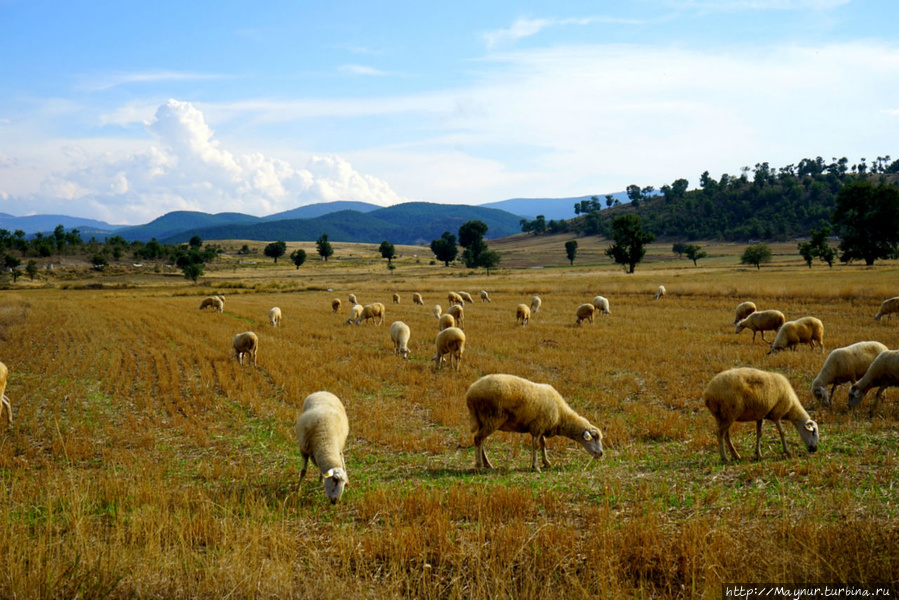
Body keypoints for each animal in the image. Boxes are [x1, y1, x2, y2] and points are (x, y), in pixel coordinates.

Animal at [464, 372, 604, 472]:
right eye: (593, 438)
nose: (601, 454)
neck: (561, 415)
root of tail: (471, 393)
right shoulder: (537, 427)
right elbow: (536, 446)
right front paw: (535, 466)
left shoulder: (541, 427)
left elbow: (543, 444)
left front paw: (546, 462)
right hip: (492, 418)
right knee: (478, 439)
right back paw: (479, 466)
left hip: (485, 421)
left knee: (480, 440)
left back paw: (487, 464)